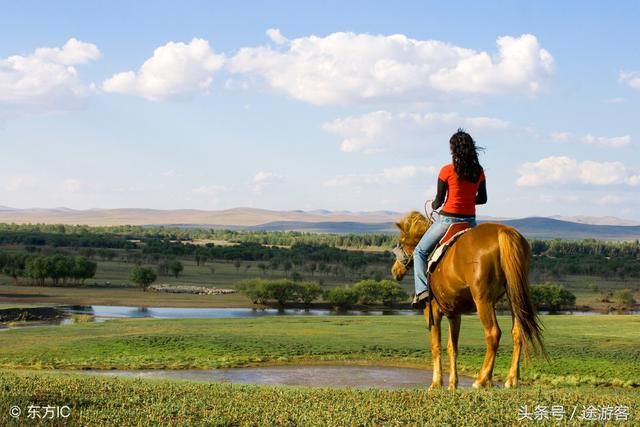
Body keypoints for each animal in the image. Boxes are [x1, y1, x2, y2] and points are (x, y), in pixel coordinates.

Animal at [390, 211, 544, 392]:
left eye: (402, 242)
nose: (395, 271)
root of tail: (503, 232)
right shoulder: (454, 314)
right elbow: (452, 348)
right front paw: (452, 384)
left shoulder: (432, 311)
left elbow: (436, 346)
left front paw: (436, 383)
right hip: (515, 296)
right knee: (518, 332)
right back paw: (511, 379)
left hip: (483, 300)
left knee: (493, 333)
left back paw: (482, 379)